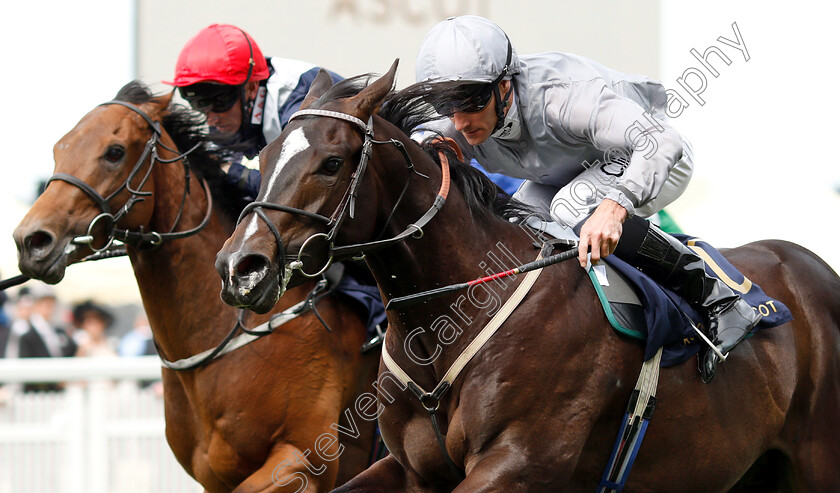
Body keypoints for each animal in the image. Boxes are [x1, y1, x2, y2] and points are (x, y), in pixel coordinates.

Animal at [213, 63, 840, 490]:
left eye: (332, 163)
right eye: (263, 157)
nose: (240, 266)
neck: (446, 324)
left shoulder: (519, 462)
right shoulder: (411, 469)